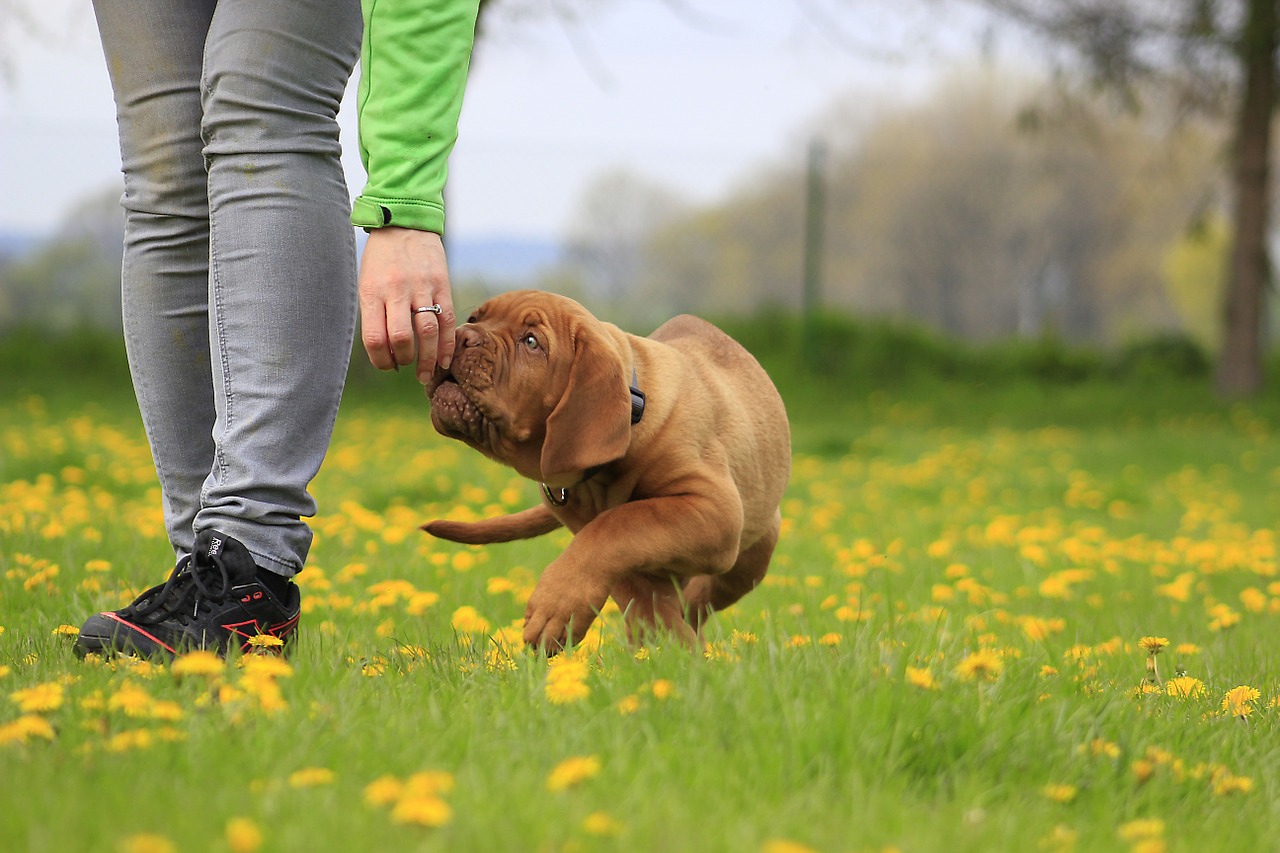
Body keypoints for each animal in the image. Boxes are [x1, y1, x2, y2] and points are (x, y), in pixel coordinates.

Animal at [422, 289, 788, 648]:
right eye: (475, 318)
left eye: (531, 342)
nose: (461, 336)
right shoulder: (585, 523)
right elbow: (627, 573)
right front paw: (667, 642)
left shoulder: (715, 508)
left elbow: (618, 525)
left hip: (751, 555)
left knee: (702, 596)